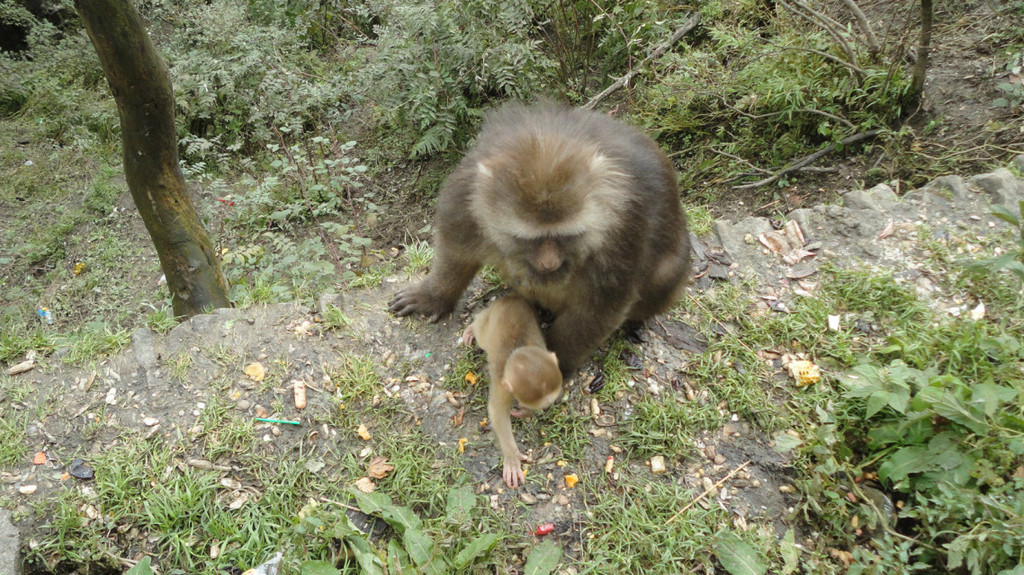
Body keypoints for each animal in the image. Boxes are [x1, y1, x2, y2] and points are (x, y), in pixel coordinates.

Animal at [387, 100, 692, 374]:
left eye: (568, 235)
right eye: (528, 238)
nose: (549, 263)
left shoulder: (622, 230)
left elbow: (598, 309)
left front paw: (551, 364)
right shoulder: (466, 196)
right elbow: (455, 251)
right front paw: (432, 296)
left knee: (664, 275)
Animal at [462, 292, 565, 484]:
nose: (548, 406)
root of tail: (511, 297)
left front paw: (525, 412)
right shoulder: (503, 386)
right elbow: (497, 412)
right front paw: (511, 455)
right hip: (489, 322)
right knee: (482, 334)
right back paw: (473, 328)